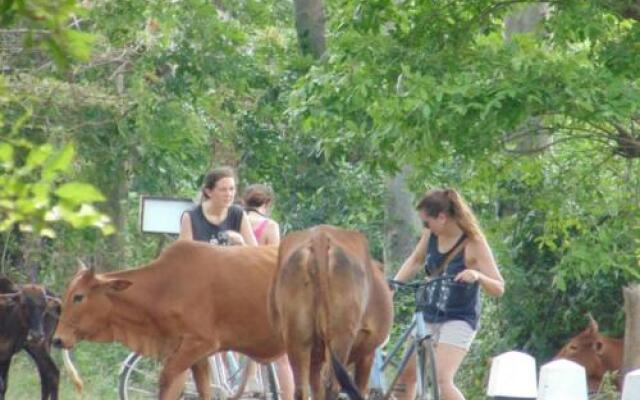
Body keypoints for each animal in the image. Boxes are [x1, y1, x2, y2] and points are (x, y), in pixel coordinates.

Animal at [53, 241, 284, 400]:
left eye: (79, 297)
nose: (57, 340)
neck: (164, 289)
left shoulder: (199, 344)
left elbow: (166, 380)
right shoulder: (192, 354)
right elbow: (201, 390)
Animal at [268, 225, 392, 400]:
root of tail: (320, 236)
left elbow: (316, 388)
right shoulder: (367, 353)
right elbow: (360, 387)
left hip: (297, 337)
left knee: (301, 389)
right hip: (341, 336)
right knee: (333, 385)